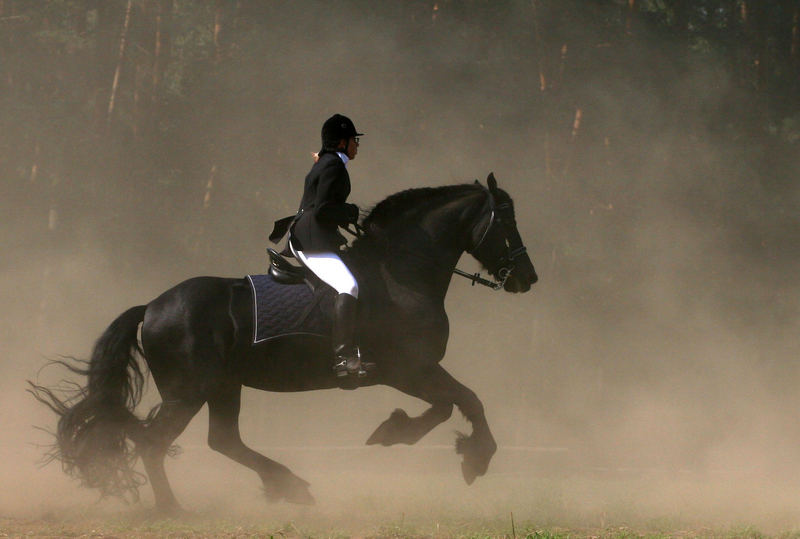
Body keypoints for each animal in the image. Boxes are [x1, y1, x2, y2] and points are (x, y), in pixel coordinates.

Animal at [28, 173, 536, 516]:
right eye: (507, 220)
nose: (527, 279)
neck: (400, 272)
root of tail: (152, 306)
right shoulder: (410, 368)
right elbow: (463, 401)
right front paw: (464, 455)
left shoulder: (415, 371)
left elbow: (454, 404)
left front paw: (400, 432)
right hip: (188, 391)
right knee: (154, 442)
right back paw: (174, 508)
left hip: (223, 386)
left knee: (221, 440)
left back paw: (289, 486)